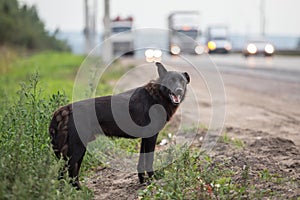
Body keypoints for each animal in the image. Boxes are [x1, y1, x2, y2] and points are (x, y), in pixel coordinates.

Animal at [49, 62, 190, 189]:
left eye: (182, 81)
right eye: (170, 80)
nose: (179, 90)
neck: (157, 95)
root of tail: (64, 110)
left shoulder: (145, 138)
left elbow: (141, 163)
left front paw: (142, 181)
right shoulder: (151, 137)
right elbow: (149, 162)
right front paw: (152, 181)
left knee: (67, 173)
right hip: (78, 149)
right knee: (68, 171)